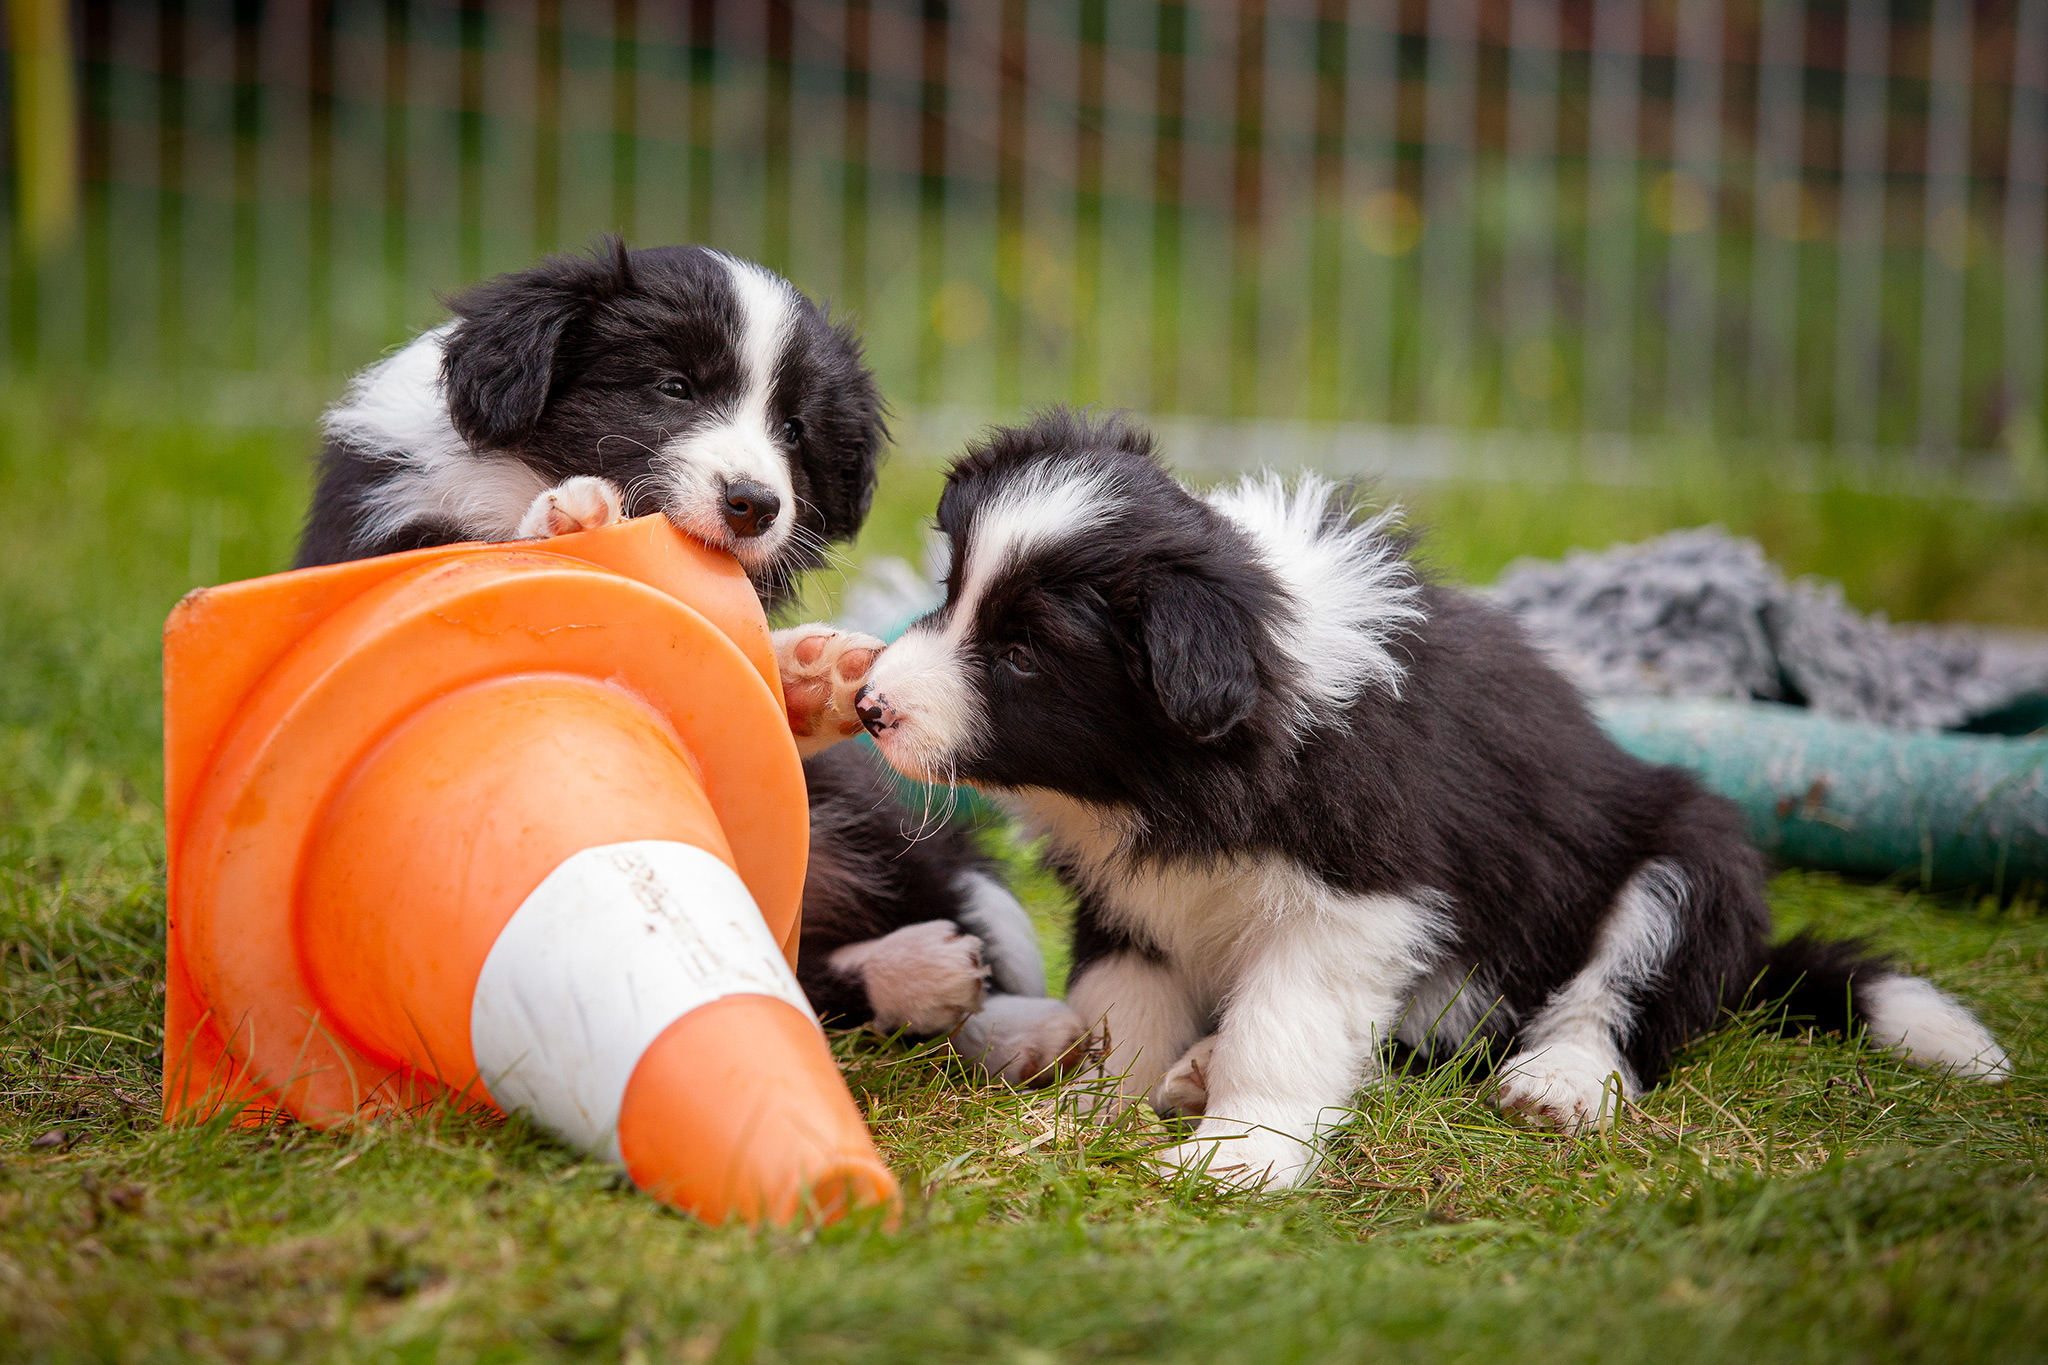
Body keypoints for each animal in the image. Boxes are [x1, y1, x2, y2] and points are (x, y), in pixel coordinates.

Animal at [299, 240, 1089, 1080]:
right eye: (673, 388)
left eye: (793, 428)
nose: (754, 503)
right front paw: (570, 524)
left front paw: (806, 679)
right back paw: (927, 975)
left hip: (850, 810)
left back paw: (1016, 1021)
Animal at [851, 411, 2015, 1186]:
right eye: (948, 590)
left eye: (1021, 654)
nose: (867, 705)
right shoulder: (1132, 897)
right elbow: (1121, 1006)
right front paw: (1088, 1112)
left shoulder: (1353, 899)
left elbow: (1284, 1025)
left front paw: (1238, 1157)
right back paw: (1193, 1070)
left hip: (1689, 851)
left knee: (1614, 997)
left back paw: (1557, 1085)